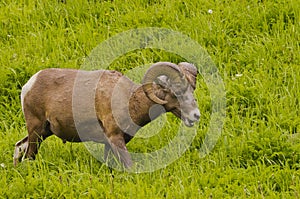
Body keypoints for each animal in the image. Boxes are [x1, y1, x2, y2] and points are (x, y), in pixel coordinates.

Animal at [14, 61, 202, 168]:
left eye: (193, 89)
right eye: (176, 91)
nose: (196, 115)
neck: (129, 100)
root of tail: (28, 85)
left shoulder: (109, 144)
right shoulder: (115, 138)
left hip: (43, 132)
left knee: (19, 147)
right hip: (36, 129)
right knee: (28, 155)